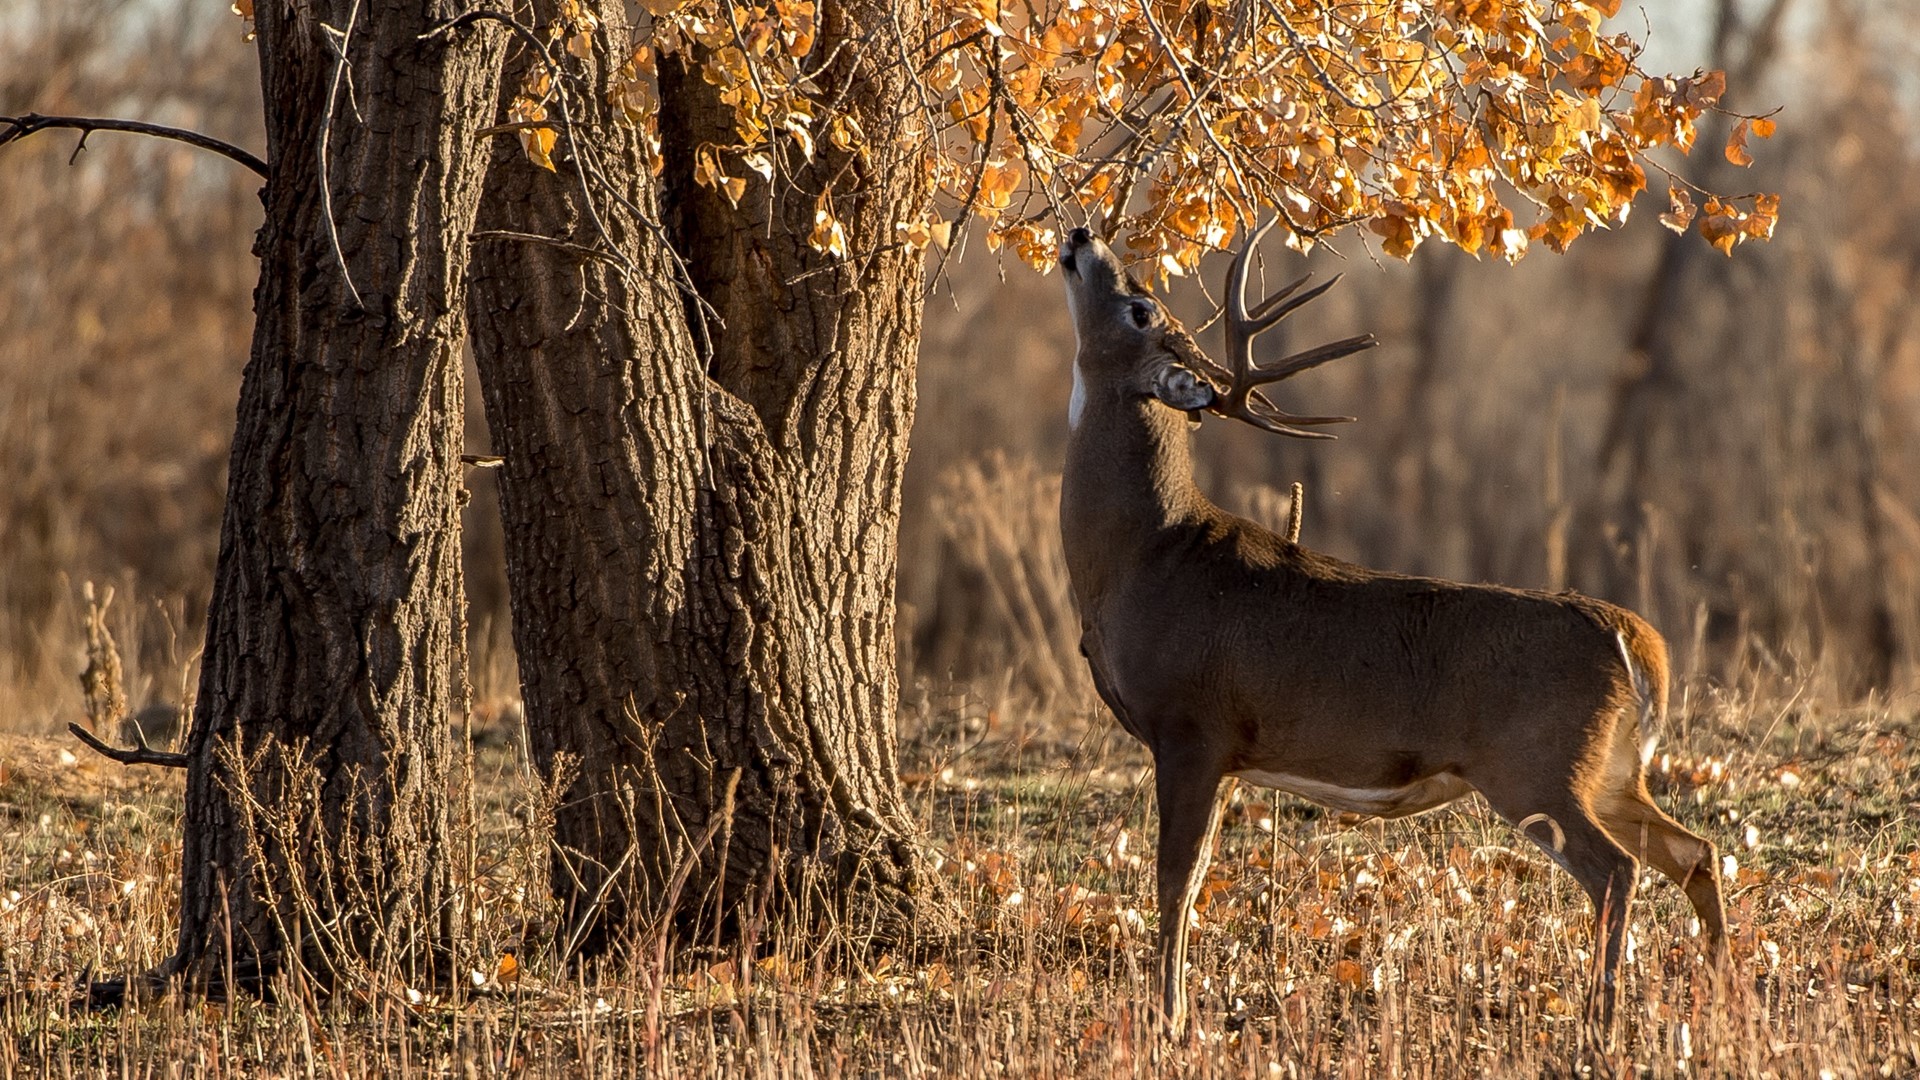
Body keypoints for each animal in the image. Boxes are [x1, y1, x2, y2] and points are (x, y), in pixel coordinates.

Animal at [1059, 220, 1735, 1037]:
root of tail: (1635, 640)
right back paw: (1724, 996)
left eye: (1141, 308)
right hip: (1608, 769)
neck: (1145, 555)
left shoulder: (1191, 726)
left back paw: (1598, 1022)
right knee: (1694, 849)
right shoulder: (1223, 755)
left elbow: (1175, 884)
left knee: (1617, 870)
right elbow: (1188, 881)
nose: (1081, 232)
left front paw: (1170, 1021)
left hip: (1537, 764)